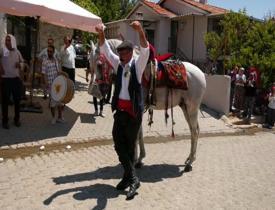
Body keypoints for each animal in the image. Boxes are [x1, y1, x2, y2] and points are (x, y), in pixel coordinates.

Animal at [90, 39, 207, 172]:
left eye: (99, 64)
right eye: (90, 63)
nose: (99, 90)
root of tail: (201, 73)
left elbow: (135, 135)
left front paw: (135, 160)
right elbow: (139, 133)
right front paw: (140, 159)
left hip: (192, 108)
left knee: (195, 131)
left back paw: (190, 163)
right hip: (185, 107)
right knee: (194, 129)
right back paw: (189, 159)